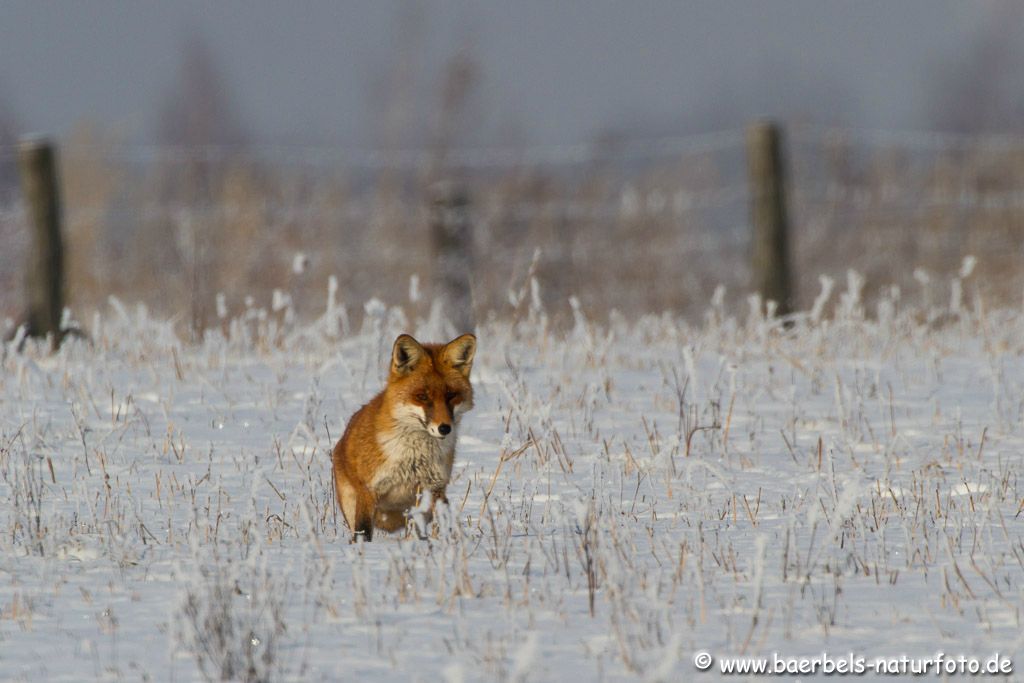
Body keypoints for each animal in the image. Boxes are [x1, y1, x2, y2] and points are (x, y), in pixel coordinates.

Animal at [333, 333, 477, 540]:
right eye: (422, 396)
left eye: (451, 395)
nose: (444, 428)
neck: (413, 456)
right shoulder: (369, 490)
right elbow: (363, 533)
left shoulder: (435, 488)